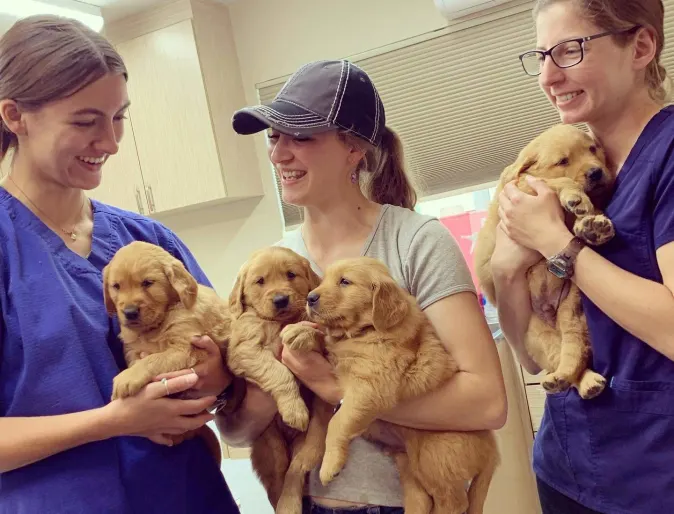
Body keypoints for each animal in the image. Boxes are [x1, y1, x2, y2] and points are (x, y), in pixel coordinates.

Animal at [102, 240, 231, 460]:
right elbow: (137, 359)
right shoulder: (132, 349)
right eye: (116, 286)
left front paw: (127, 379)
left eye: (147, 283)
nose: (129, 312)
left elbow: (152, 360)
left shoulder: (185, 347)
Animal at [224, 246, 322, 506]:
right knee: (278, 479)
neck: (277, 323)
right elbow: (279, 372)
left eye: (291, 275)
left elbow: (315, 330)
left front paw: (301, 333)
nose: (280, 300)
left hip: (302, 444)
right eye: (260, 281)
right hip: (271, 446)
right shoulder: (244, 351)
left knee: (296, 471)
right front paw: (295, 410)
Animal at [278, 258, 498, 512]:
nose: (310, 298)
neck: (362, 332)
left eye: (345, 281)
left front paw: (329, 465)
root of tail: (493, 448)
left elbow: (337, 422)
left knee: (454, 502)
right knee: (422, 498)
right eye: (323, 281)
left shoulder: (372, 387)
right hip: (408, 462)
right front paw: (300, 332)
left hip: (434, 457)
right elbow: (317, 424)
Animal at [472, 123, 616, 396]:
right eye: (562, 161)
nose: (596, 172)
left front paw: (589, 225)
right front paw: (577, 198)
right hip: (536, 337)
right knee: (559, 359)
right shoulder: (521, 186)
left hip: (573, 313)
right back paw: (570, 380)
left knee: (575, 348)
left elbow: (586, 214)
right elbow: (555, 181)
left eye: (593, 149)